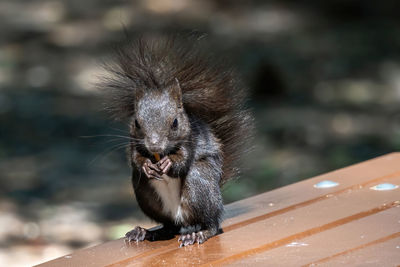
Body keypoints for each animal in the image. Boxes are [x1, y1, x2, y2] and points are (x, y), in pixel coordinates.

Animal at [101, 34, 255, 248]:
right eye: (137, 122)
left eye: (175, 122)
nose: (154, 145)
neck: (159, 153)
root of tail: (182, 218)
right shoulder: (133, 144)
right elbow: (135, 159)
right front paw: (147, 165)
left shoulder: (190, 141)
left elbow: (183, 160)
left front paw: (168, 163)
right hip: (145, 194)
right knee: (169, 226)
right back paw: (144, 232)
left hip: (200, 184)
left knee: (212, 224)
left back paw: (198, 234)